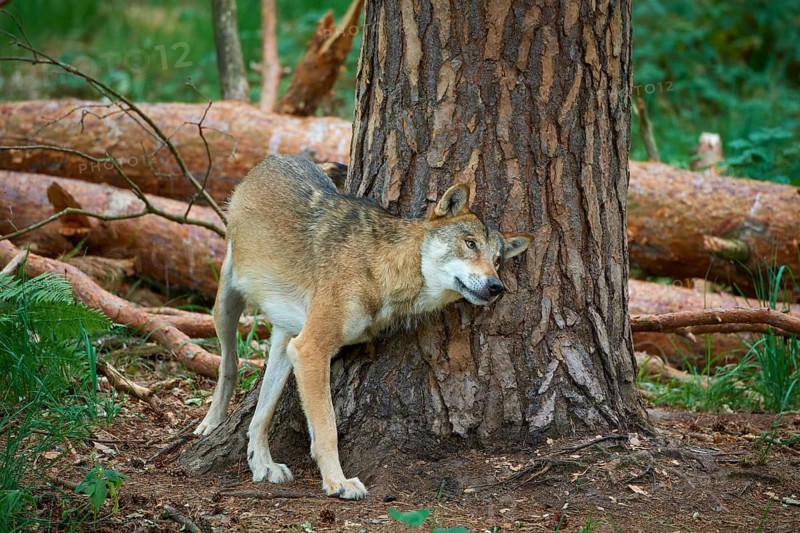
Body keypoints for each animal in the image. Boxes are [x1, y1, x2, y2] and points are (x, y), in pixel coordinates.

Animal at [194, 155, 532, 500]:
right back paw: (212, 423)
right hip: (227, 307)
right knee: (229, 364)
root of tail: (276, 159)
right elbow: (327, 429)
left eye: (498, 260)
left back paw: (262, 465)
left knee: (260, 416)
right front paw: (338, 482)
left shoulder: (300, 348)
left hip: (284, 342)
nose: (497, 287)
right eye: (470, 244)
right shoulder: (311, 350)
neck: (381, 266)